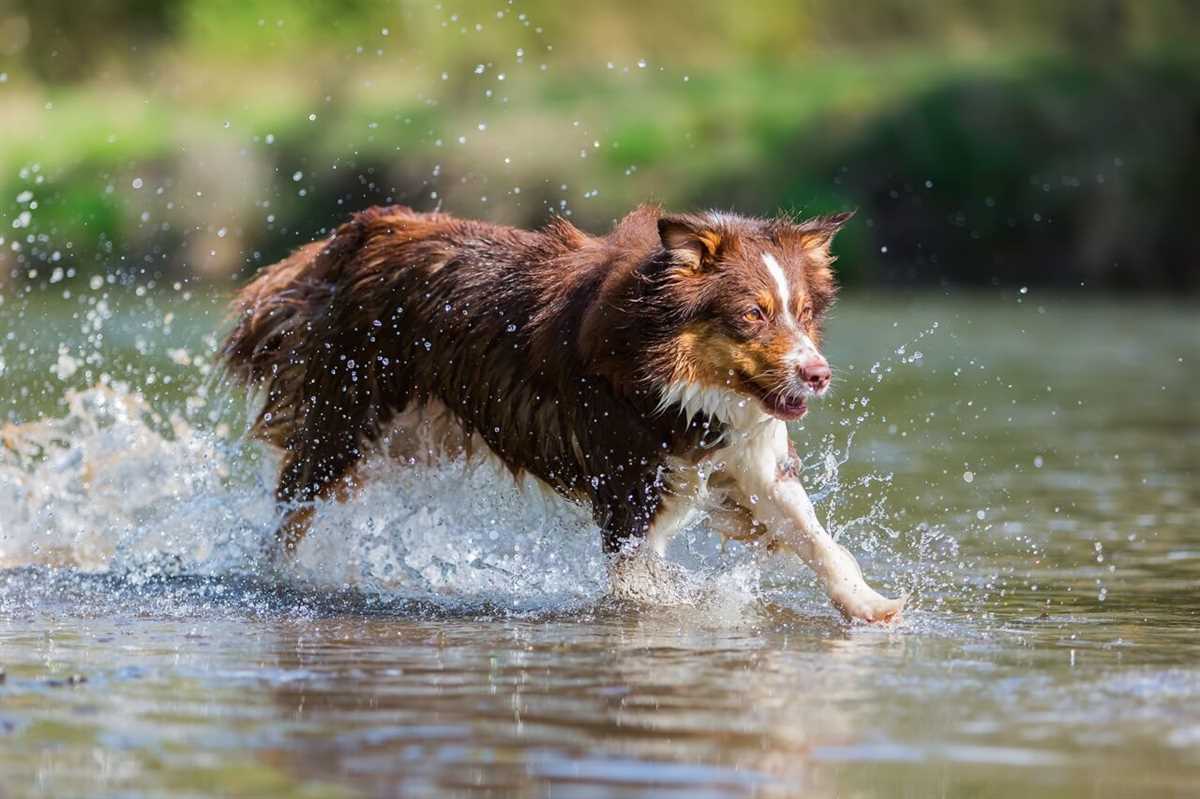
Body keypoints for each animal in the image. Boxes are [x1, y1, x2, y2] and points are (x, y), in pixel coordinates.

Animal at [220, 202, 902, 619]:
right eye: (752, 314)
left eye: (803, 313)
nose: (818, 375)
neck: (672, 373)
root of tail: (360, 231)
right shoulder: (629, 486)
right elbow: (641, 584)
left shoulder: (751, 455)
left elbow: (817, 538)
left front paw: (868, 604)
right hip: (342, 423)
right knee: (291, 510)